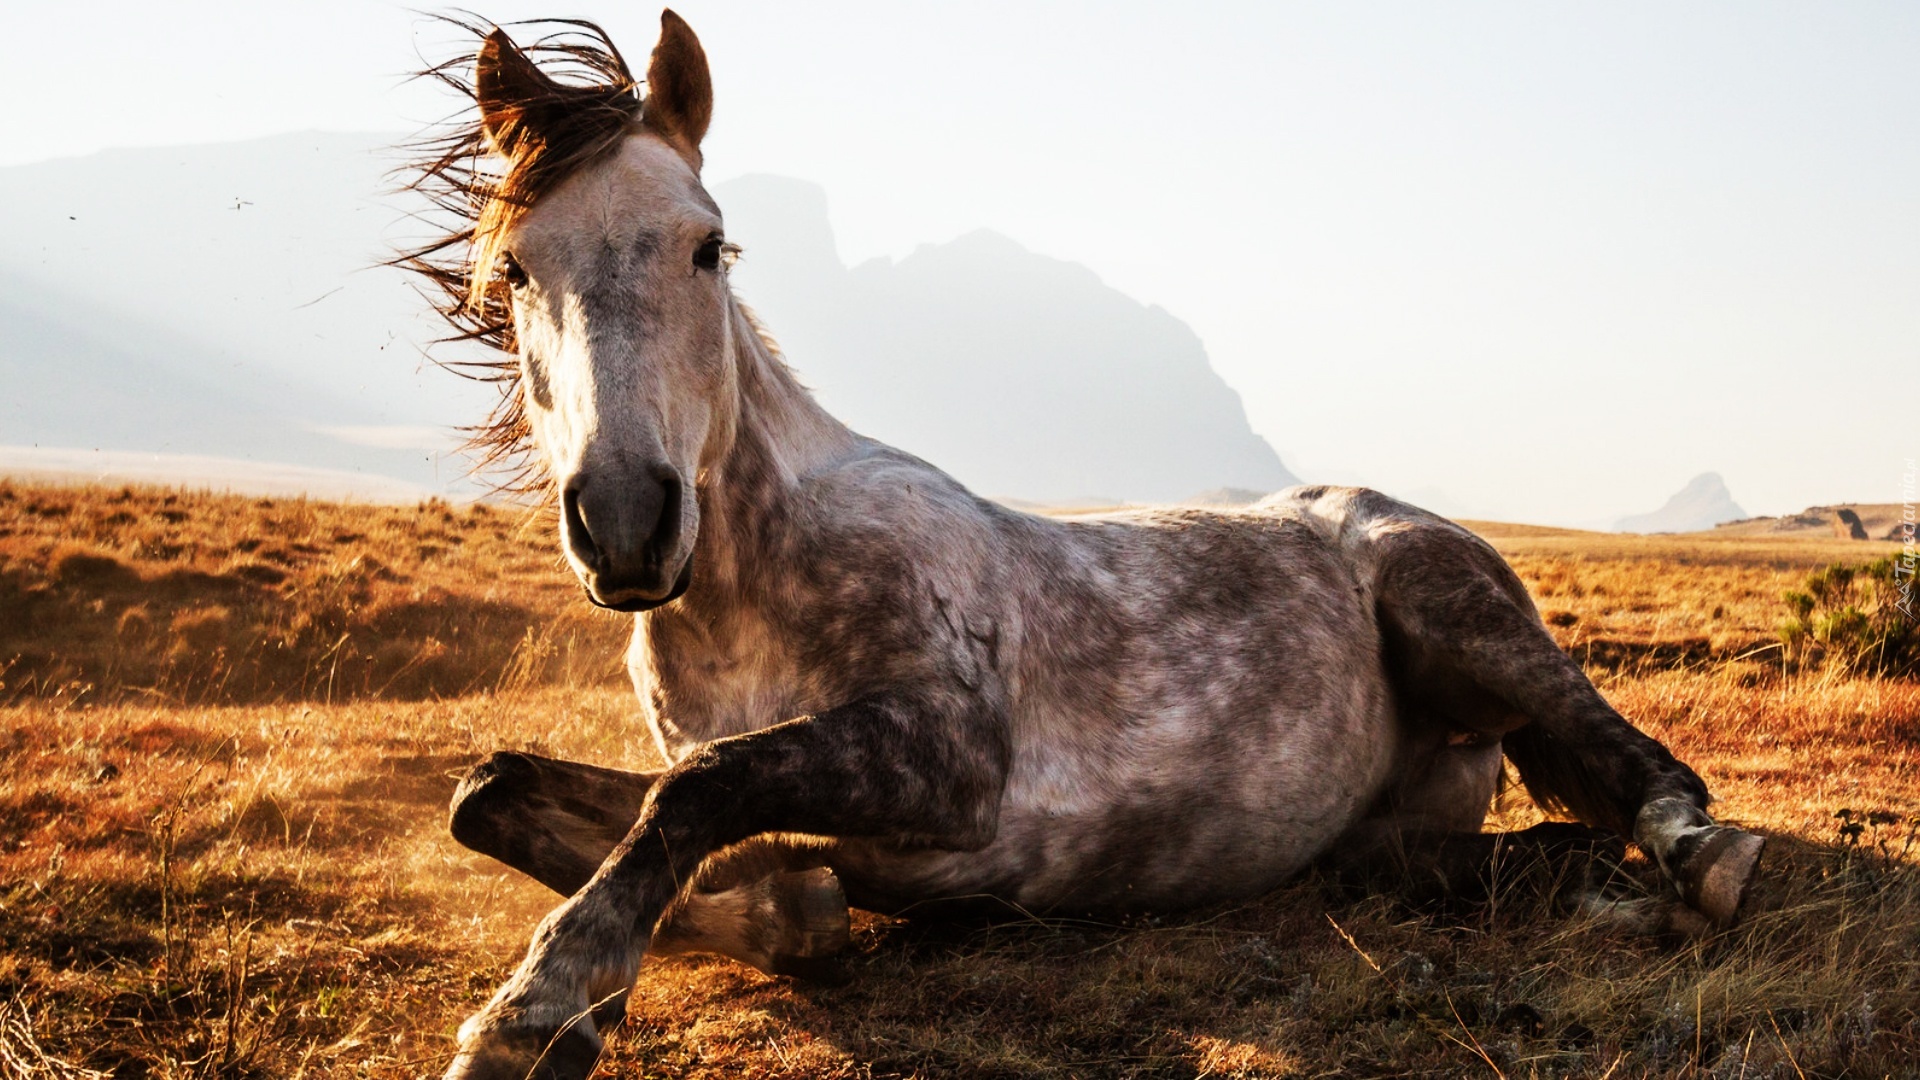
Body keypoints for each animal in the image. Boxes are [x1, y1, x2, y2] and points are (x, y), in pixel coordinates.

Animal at [401, 12, 1766, 1068]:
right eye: (514, 269)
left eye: (708, 246)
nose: (627, 521)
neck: (754, 585)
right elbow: (503, 792)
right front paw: (770, 917)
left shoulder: (951, 755)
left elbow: (699, 788)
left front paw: (536, 1006)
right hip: (1387, 835)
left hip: (1457, 611)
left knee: (1640, 764)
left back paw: (1701, 857)